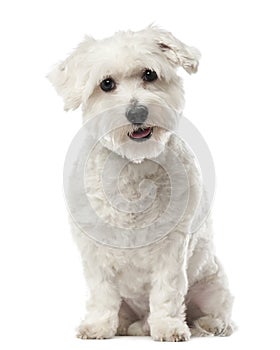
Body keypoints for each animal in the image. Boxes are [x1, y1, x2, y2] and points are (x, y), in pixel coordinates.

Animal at [48, 25, 234, 342]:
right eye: (106, 84)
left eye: (149, 74)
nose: (137, 113)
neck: (133, 167)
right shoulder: (94, 249)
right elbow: (101, 293)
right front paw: (98, 325)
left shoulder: (172, 248)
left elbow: (167, 292)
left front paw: (169, 327)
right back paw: (127, 325)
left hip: (212, 282)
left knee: (211, 309)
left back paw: (209, 325)